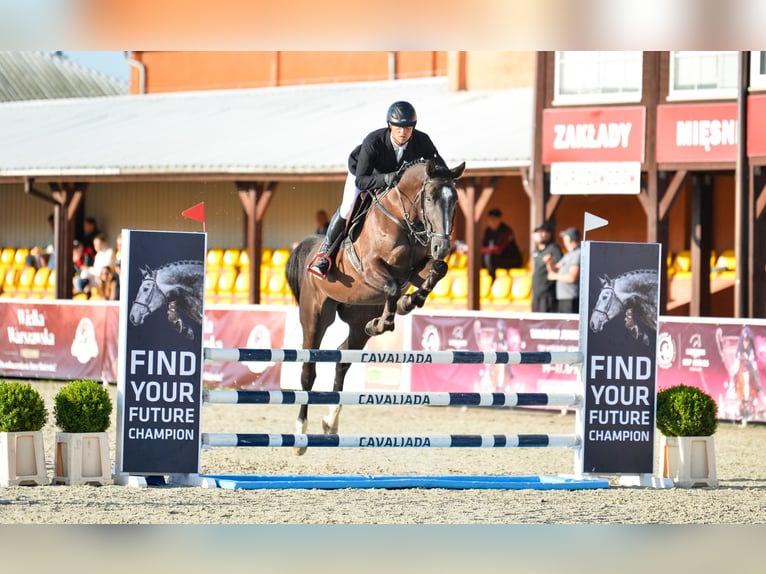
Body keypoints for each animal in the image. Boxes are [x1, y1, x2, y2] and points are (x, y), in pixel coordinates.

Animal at [286, 159, 464, 454]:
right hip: (315, 315)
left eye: (455, 200)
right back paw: (300, 435)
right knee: (308, 371)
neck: (404, 220)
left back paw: (330, 422)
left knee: (343, 359)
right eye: (429, 198)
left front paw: (408, 303)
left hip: (357, 318)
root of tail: (311, 247)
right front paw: (389, 317)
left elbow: (438, 270)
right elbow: (391, 286)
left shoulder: (416, 270)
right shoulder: (370, 267)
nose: (442, 246)